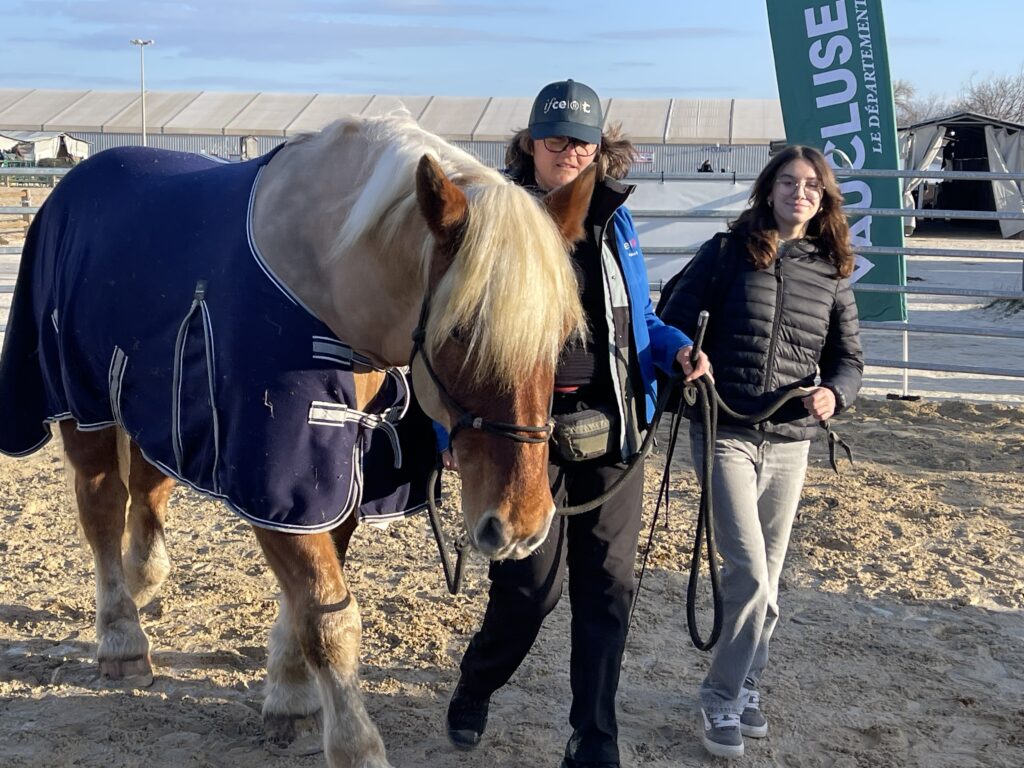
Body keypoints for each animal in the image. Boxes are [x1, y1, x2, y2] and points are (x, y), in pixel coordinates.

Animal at [0, 113, 595, 768]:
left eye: (563, 334)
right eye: (461, 330)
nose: (521, 527)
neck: (326, 285)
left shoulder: (336, 482)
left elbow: (305, 601)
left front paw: (290, 698)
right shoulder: (280, 480)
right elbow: (326, 617)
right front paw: (356, 746)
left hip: (156, 404)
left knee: (148, 494)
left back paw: (143, 582)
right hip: (81, 401)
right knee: (103, 508)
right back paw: (121, 638)